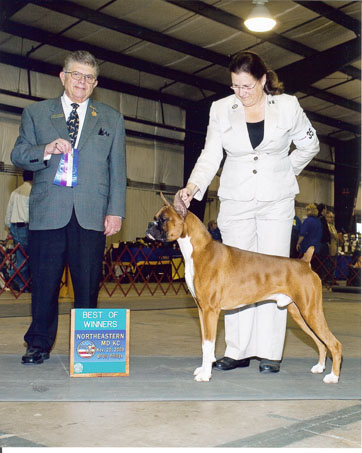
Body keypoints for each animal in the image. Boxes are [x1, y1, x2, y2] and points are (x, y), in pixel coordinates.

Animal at [146, 192, 340, 384]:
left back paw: (333, 376)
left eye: (163, 219)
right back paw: (319, 367)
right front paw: (203, 369)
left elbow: (209, 344)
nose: (149, 225)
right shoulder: (201, 310)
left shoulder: (210, 311)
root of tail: (305, 262)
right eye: (155, 217)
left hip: (311, 311)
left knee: (334, 343)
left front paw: (205, 374)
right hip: (299, 313)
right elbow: (204, 344)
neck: (199, 249)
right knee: (321, 342)